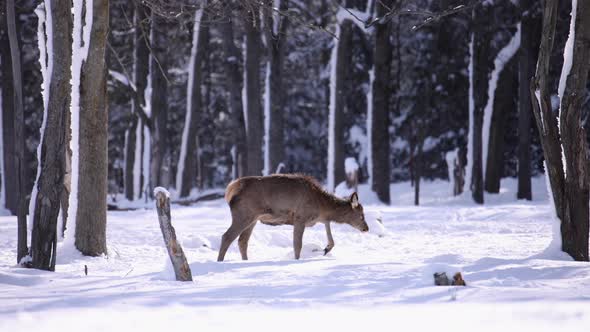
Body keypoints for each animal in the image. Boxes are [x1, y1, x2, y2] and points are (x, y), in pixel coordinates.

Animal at [217, 174, 370, 262]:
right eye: (361, 215)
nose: (366, 228)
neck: (321, 205)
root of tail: (230, 189)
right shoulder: (300, 217)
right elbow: (297, 244)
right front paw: (297, 260)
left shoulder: (319, 218)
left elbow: (329, 231)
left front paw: (326, 249)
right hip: (243, 214)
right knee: (227, 237)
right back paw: (220, 262)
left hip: (252, 219)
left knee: (242, 241)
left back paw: (245, 261)